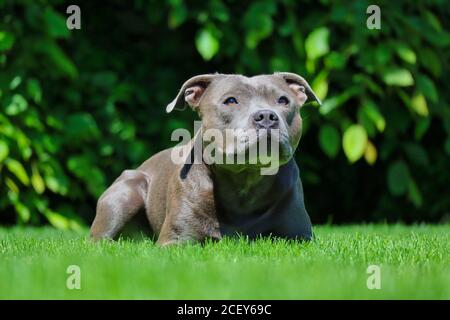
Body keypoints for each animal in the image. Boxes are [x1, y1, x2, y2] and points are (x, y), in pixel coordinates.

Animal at [89, 72, 320, 245]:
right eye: (230, 101)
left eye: (283, 100)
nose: (266, 116)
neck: (246, 180)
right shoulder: (176, 241)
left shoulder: (300, 239)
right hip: (126, 191)